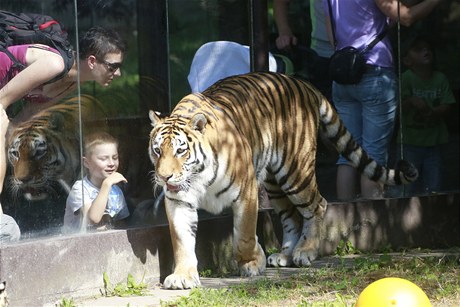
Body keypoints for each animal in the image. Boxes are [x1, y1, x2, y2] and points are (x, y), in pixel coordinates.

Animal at [147, 72, 416, 292]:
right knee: (292, 217)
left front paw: (253, 262)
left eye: (181, 150)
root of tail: (302, 83)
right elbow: (182, 241)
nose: (164, 177)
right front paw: (183, 276)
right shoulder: (179, 201)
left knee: (317, 205)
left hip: (296, 172)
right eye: (158, 151)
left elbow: (244, 235)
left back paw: (305, 252)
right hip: (275, 184)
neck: (197, 176)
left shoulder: (246, 191)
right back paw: (285, 256)